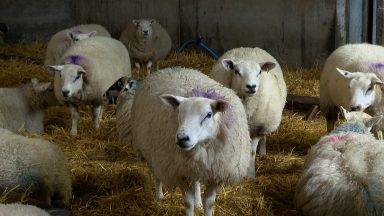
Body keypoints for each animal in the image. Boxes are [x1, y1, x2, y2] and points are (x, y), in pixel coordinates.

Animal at [121, 67, 250, 216]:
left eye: (208, 115)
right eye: (179, 112)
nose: (182, 138)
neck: (202, 146)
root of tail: (163, 69)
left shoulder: (215, 174)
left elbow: (209, 203)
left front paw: (202, 204)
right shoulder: (180, 172)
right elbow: (188, 203)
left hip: (191, 166)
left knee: (196, 182)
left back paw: (198, 202)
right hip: (151, 151)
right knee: (156, 173)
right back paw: (159, 196)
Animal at [208, 47, 286, 177]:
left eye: (259, 72)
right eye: (236, 71)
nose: (251, 86)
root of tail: (249, 48)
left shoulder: (258, 128)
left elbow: (251, 152)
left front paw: (250, 174)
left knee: (264, 136)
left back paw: (263, 151)